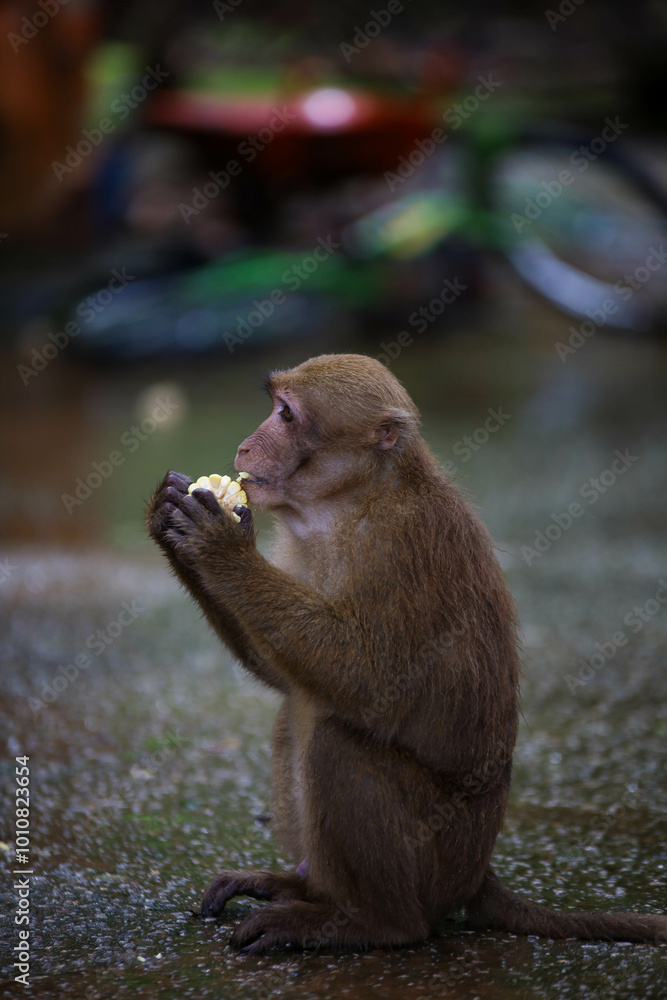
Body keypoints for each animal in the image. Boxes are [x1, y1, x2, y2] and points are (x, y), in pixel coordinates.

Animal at [146, 353, 667, 955]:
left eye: (286, 415)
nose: (246, 444)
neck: (350, 502)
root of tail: (476, 874)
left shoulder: (401, 545)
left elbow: (371, 682)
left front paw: (221, 549)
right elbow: (285, 678)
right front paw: (167, 517)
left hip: (437, 854)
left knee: (336, 744)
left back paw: (374, 923)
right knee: (295, 716)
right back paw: (305, 891)